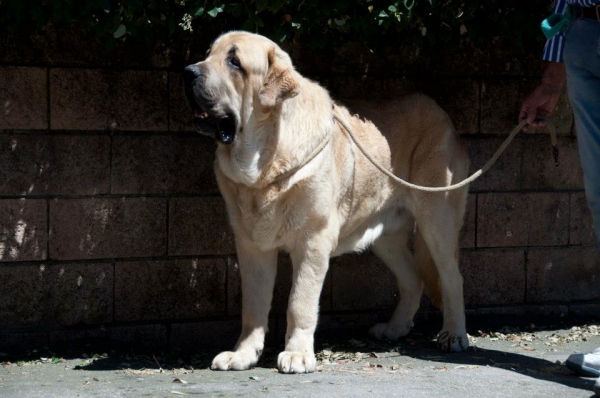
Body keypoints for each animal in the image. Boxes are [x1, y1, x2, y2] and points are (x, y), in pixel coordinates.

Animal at [183, 30, 468, 374]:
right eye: (208, 54)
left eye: (235, 61)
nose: (188, 72)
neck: (263, 163)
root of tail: (443, 114)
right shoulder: (251, 247)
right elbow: (253, 306)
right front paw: (243, 354)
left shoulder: (313, 242)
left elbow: (300, 303)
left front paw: (297, 354)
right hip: (384, 236)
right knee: (413, 279)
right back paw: (395, 328)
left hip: (437, 221)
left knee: (452, 277)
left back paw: (454, 334)